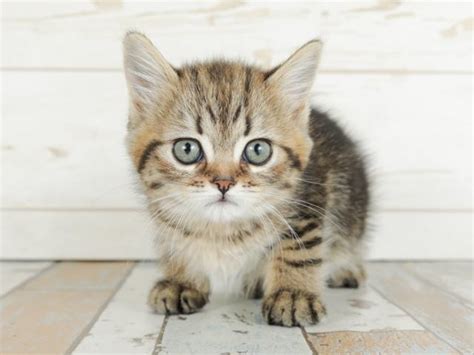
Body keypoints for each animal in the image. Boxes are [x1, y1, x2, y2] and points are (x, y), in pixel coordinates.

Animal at [122, 33, 370, 328]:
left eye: (258, 150)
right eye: (186, 149)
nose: (224, 183)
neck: (224, 231)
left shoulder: (309, 199)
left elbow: (298, 248)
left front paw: (292, 294)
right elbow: (176, 240)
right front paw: (181, 279)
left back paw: (347, 269)